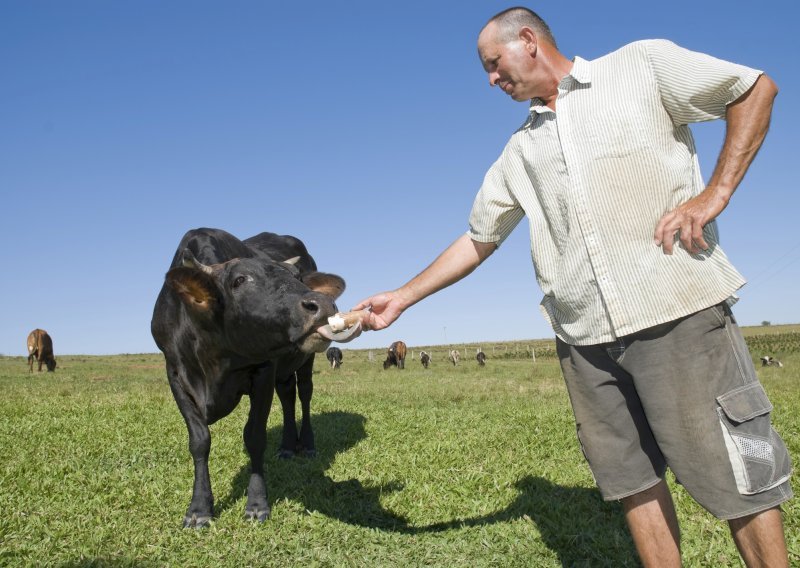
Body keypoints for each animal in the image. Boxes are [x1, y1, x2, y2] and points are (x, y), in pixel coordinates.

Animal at [150, 227, 354, 528]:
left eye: (297, 278)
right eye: (240, 280)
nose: (324, 304)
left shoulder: (264, 371)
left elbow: (255, 436)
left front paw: (257, 503)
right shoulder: (175, 375)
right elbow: (199, 441)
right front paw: (199, 508)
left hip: (305, 361)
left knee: (304, 394)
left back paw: (306, 444)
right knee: (288, 396)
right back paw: (287, 447)